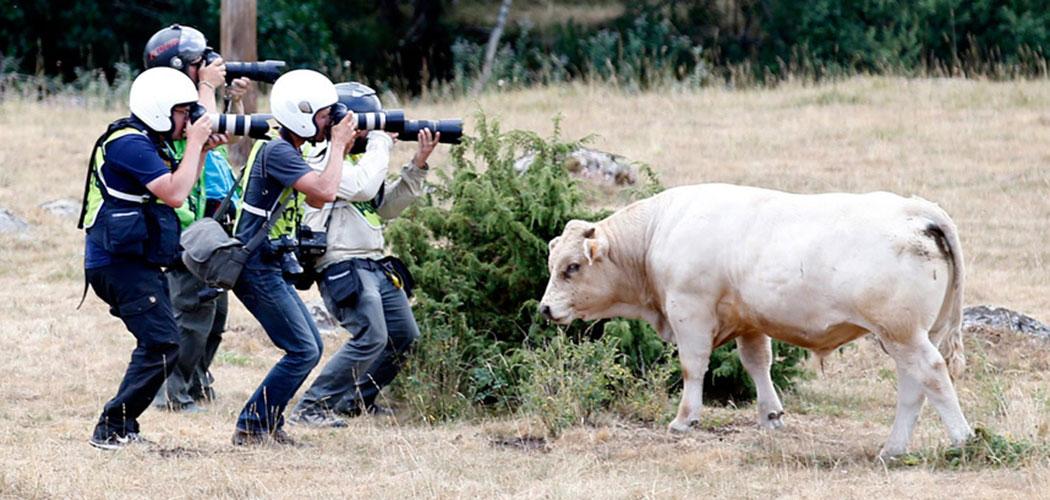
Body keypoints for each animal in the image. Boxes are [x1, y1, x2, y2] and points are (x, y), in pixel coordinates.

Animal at [539, 183, 973, 458]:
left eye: (572, 267)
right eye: (552, 263)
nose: (545, 309)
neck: (659, 230)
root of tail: (915, 210)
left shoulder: (689, 310)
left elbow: (692, 366)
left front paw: (684, 419)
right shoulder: (749, 322)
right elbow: (757, 363)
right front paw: (770, 415)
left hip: (903, 333)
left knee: (932, 373)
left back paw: (963, 440)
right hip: (904, 336)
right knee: (913, 386)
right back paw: (893, 449)